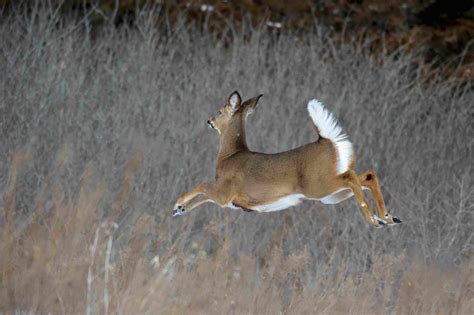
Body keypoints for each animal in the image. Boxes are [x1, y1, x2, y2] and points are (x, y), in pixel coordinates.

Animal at [172, 92, 402, 228]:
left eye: (220, 111)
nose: (209, 121)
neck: (230, 155)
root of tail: (326, 140)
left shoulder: (225, 191)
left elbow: (202, 186)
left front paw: (178, 204)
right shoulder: (225, 198)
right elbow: (203, 196)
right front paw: (180, 210)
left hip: (318, 185)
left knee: (353, 177)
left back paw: (374, 219)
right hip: (331, 194)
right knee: (367, 175)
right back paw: (388, 217)